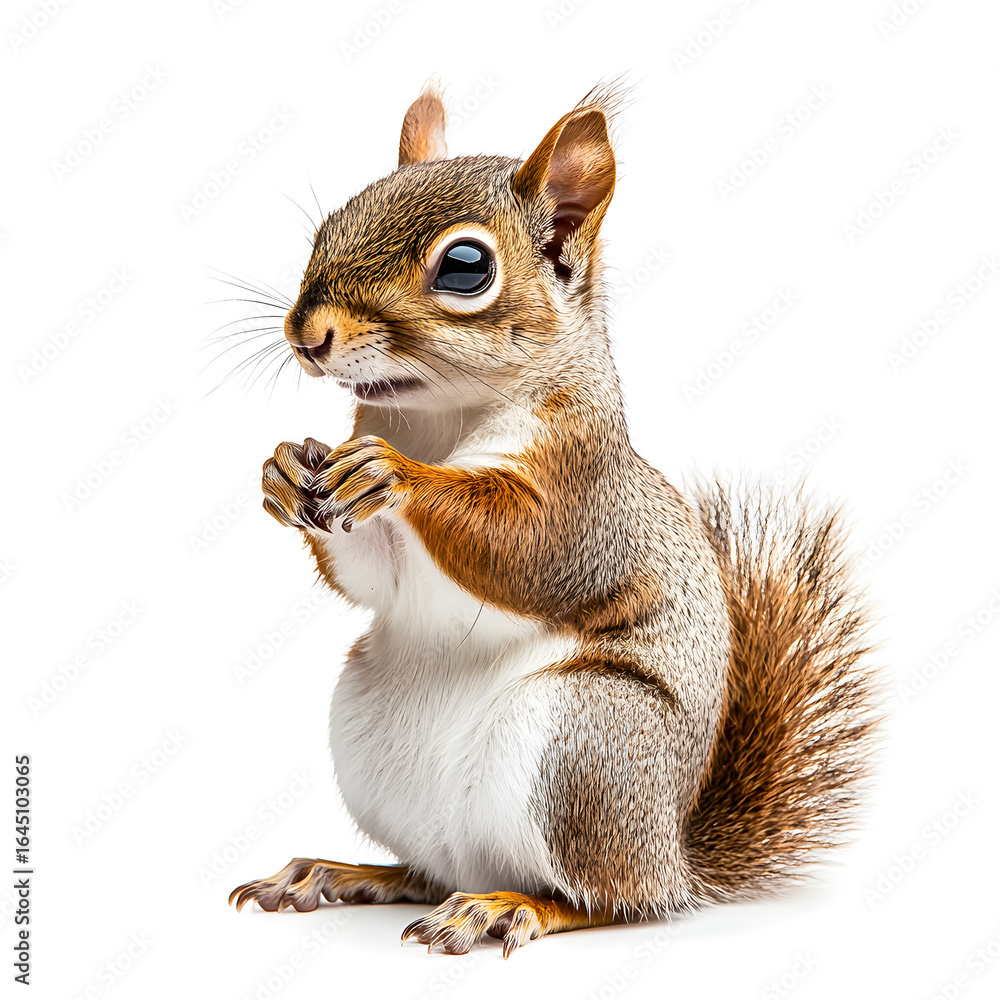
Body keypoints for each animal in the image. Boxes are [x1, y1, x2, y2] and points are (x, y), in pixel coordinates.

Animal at [229, 84, 879, 958]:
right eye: (329, 225)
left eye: (465, 266)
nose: (306, 334)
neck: (437, 417)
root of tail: (674, 854)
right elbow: (371, 575)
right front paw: (282, 468)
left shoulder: (582, 497)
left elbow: (525, 551)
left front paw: (396, 474)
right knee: (430, 871)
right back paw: (346, 874)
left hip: (587, 746)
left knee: (608, 899)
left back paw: (509, 908)